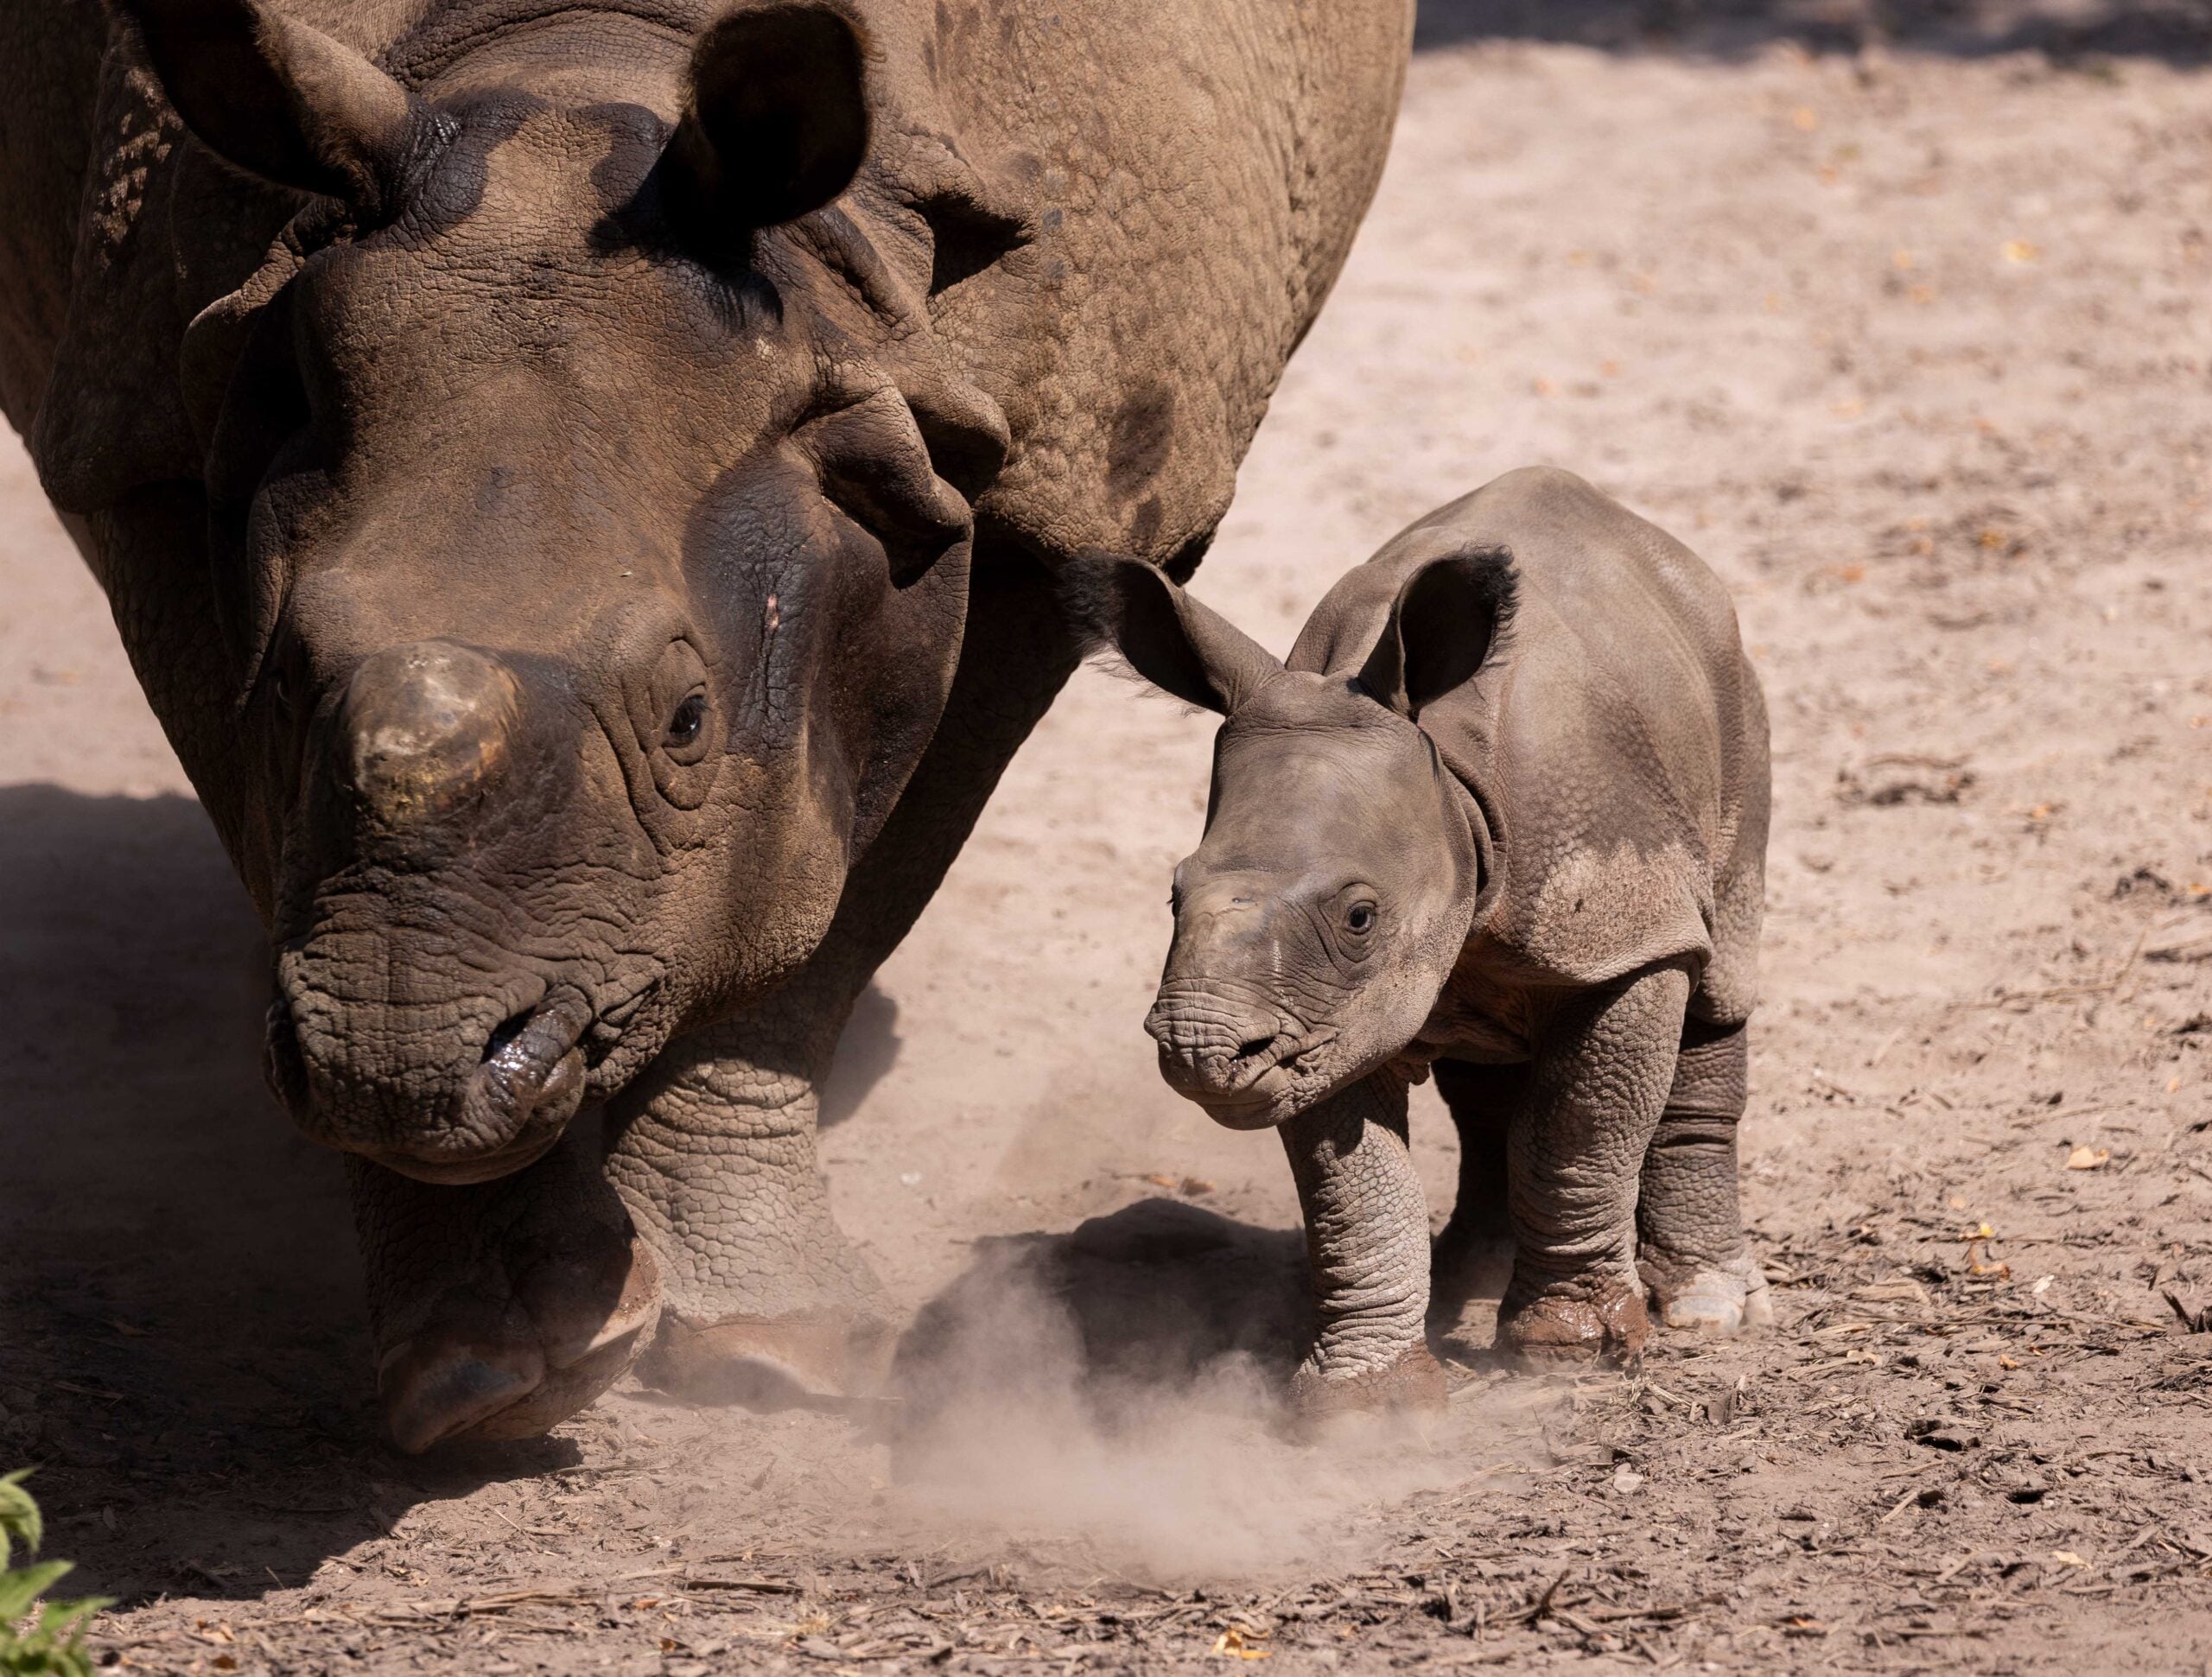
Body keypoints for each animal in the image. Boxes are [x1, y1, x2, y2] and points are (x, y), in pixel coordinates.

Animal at [0, 0, 1413, 1450]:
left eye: (688, 721)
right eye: (280, 683)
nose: (397, 1062)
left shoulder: (1049, 492)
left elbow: (830, 910)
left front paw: (771, 1352)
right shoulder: (146, 435)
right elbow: (260, 796)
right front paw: (490, 1376)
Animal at [1077, 467, 1772, 1408]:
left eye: (1359, 916)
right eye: (1173, 893)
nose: (1198, 1051)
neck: (1451, 782)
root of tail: (1660, 549)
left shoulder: (1622, 932)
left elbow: (1577, 1130)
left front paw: (1570, 1350)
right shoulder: (1317, 1019)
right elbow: (1355, 1191)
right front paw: (1364, 1403)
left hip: (1732, 700)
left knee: (1718, 973)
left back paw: (1707, 1307)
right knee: (1483, 1067)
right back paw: (1465, 1286)